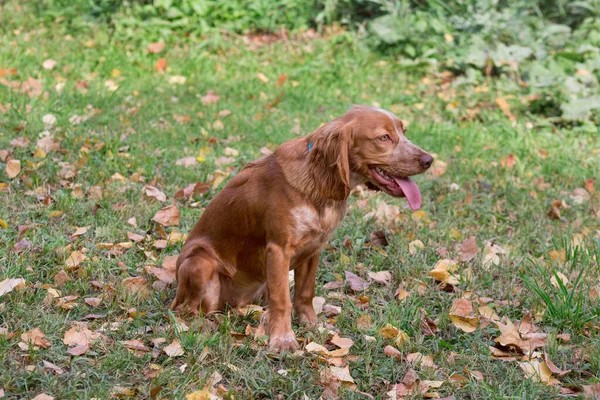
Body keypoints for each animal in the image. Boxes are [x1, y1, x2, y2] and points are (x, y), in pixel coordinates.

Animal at [171, 105, 434, 350]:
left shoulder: (313, 248)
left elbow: (305, 293)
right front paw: (282, 339)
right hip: (199, 263)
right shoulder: (278, 249)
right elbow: (282, 300)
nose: (428, 160)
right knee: (187, 310)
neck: (317, 181)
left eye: (404, 132)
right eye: (384, 137)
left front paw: (311, 325)